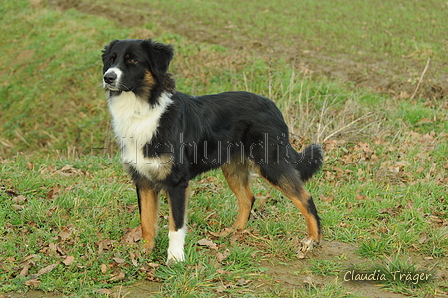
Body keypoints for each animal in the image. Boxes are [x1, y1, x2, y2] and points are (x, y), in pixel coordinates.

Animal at [102, 37, 322, 264]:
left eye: (133, 60)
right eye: (112, 59)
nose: (108, 77)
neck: (143, 111)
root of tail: (273, 106)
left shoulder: (177, 182)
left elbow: (176, 225)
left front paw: (175, 259)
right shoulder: (143, 180)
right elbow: (146, 221)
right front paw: (145, 253)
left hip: (271, 164)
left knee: (305, 197)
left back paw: (312, 240)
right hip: (233, 168)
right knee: (248, 199)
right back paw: (233, 232)